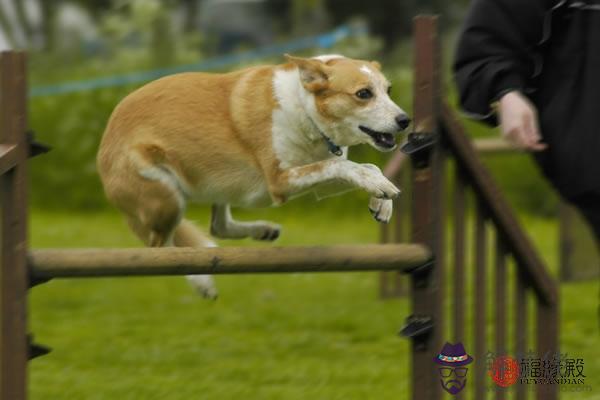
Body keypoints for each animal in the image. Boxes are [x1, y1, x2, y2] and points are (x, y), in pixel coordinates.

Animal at [96, 54, 410, 296]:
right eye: (363, 94)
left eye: (389, 90)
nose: (405, 120)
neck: (305, 109)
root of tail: (103, 147)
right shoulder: (280, 181)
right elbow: (343, 166)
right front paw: (379, 188)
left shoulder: (319, 181)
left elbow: (365, 167)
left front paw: (381, 199)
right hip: (166, 195)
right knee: (161, 249)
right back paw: (201, 281)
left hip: (217, 184)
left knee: (217, 226)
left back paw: (262, 230)